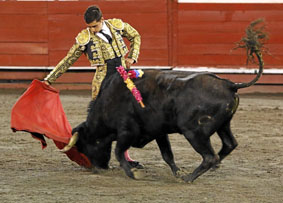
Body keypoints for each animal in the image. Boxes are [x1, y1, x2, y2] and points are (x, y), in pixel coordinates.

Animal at [61, 49, 264, 182]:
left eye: (84, 145)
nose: (98, 169)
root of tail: (230, 84)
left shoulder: (127, 131)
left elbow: (119, 152)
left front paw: (133, 173)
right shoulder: (159, 132)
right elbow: (167, 154)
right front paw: (177, 172)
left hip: (193, 131)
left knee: (209, 156)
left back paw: (190, 178)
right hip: (223, 125)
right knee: (229, 144)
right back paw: (209, 168)